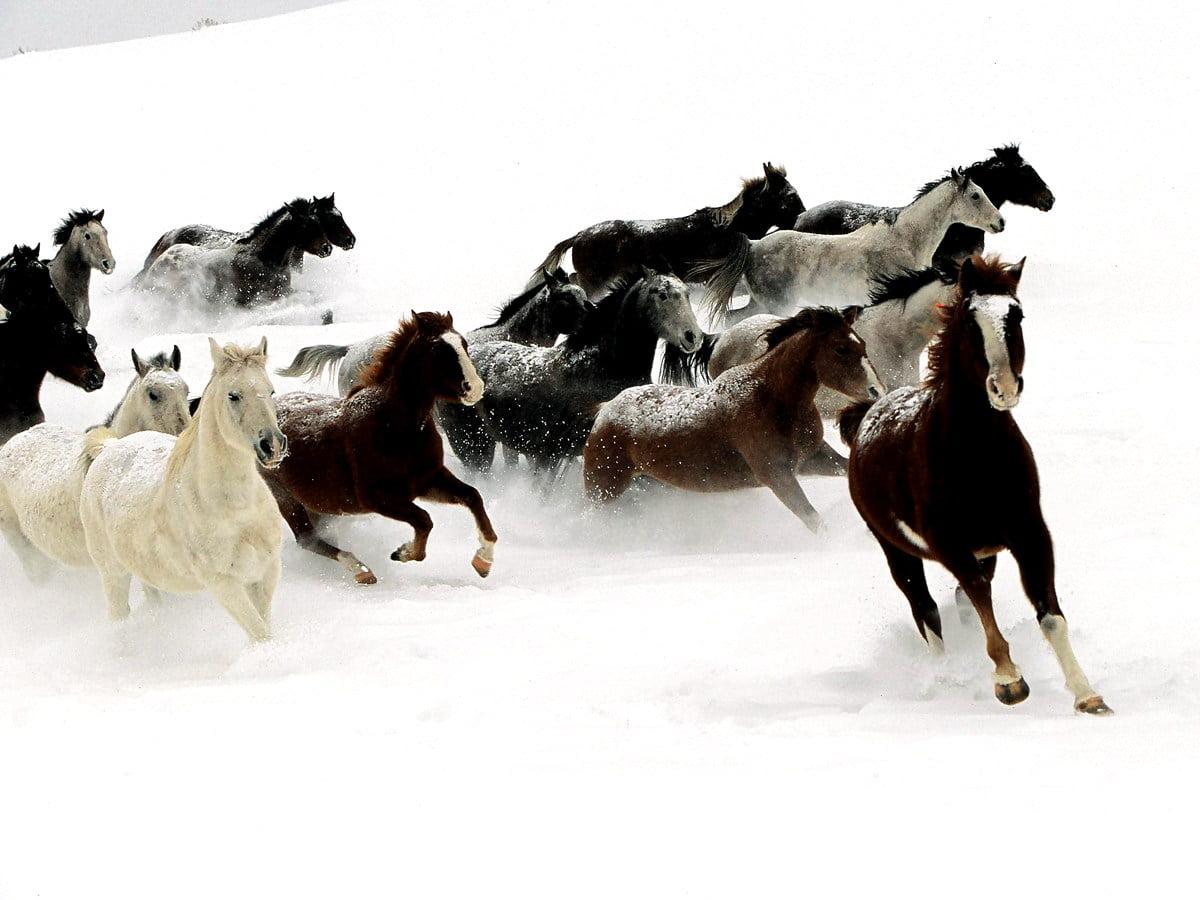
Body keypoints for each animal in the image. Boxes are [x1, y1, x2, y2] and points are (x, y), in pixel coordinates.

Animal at [79, 338, 287, 641]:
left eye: (270, 390)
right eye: (233, 396)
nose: (272, 445)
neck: (237, 510)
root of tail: (108, 448)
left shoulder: (265, 572)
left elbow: (264, 627)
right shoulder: (223, 583)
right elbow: (260, 634)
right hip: (112, 573)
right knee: (118, 614)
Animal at [261, 312, 496, 586]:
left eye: (463, 344)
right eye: (438, 350)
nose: (475, 388)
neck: (392, 427)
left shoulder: (427, 480)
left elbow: (472, 496)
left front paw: (483, 561)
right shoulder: (379, 498)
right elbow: (424, 521)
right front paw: (403, 553)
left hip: (317, 505)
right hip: (286, 498)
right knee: (307, 540)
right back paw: (361, 570)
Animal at [585, 307, 883, 531]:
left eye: (863, 344)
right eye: (840, 349)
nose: (876, 391)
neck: (772, 398)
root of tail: (605, 410)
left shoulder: (813, 458)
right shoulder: (777, 475)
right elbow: (814, 521)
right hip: (603, 488)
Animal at [696, 169, 1003, 323]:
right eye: (976, 195)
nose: (1000, 222)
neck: (904, 241)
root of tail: (753, 246)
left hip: (761, 303)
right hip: (775, 305)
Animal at [837, 255, 1111, 715]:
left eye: (1016, 315)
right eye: (969, 320)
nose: (1004, 388)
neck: (978, 455)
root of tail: (866, 414)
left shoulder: (1029, 533)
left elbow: (1049, 614)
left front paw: (1087, 695)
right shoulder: (949, 543)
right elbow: (980, 599)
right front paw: (1009, 681)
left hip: (986, 550)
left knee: (959, 603)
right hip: (897, 551)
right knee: (926, 611)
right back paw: (946, 675)